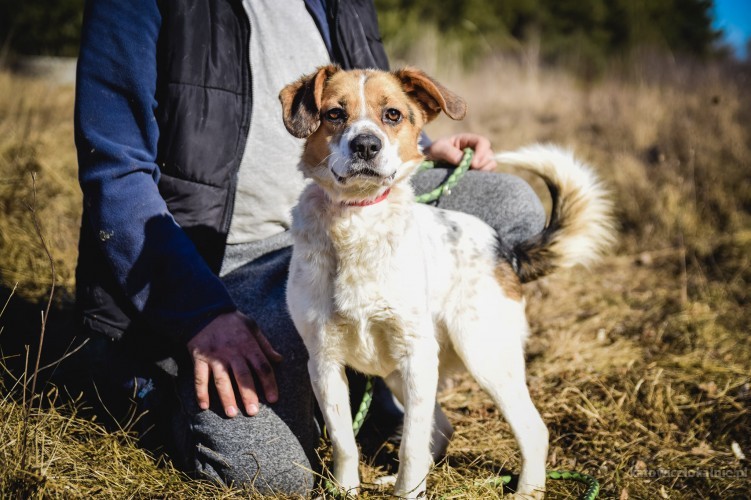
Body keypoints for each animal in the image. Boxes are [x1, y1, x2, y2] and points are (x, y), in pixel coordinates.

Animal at [280, 65, 612, 496]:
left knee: (531, 430)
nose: (366, 145)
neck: (358, 221)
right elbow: (345, 444)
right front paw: (347, 491)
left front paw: (408, 494)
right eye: (335, 114)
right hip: (403, 371)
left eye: (392, 114)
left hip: (483, 355)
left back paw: (527, 490)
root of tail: (505, 248)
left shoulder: (416, 354)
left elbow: (411, 445)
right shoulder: (324, 361)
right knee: (442, 425)